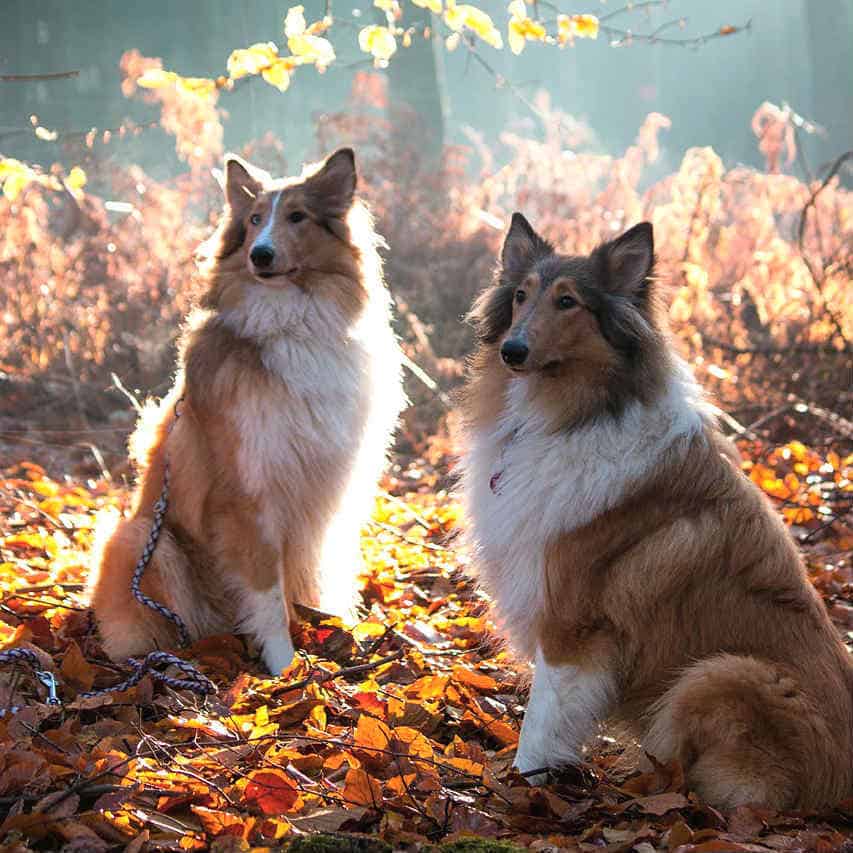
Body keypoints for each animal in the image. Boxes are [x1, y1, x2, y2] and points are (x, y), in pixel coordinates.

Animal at [86, 150, 402, 676]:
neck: (292, 325)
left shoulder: (330, 493)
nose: (260, 255)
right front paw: (283, 666)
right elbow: (267, 594)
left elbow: (320, 575)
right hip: (143, 539)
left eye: (297, 216)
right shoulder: (249, 497)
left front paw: (335, 632)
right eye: (254, 220)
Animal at [460, 213, 852, 804]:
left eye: (568, 302)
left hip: (722, 674)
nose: (512, 350)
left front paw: (524, 786)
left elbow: (542, 720)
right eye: (521, 295)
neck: (573, 416)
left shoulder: (573, 624)